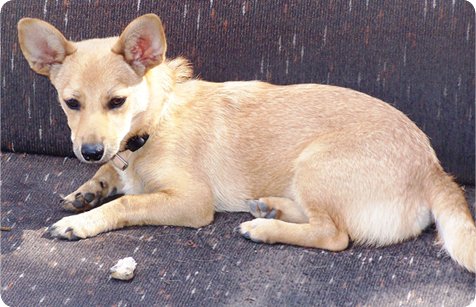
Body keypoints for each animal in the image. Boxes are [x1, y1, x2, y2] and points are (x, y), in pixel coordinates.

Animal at [16, 13, 474, 274]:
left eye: (117, 102)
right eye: (71, 103)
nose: (88, 151)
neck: (155, 120)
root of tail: (435, 171)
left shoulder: (191, 201)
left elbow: (129, 203)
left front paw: (82, 222)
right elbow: (111, 174)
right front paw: (87, 190)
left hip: (315, 164)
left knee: (334, 235)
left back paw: (265, 227)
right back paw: (271, 207)